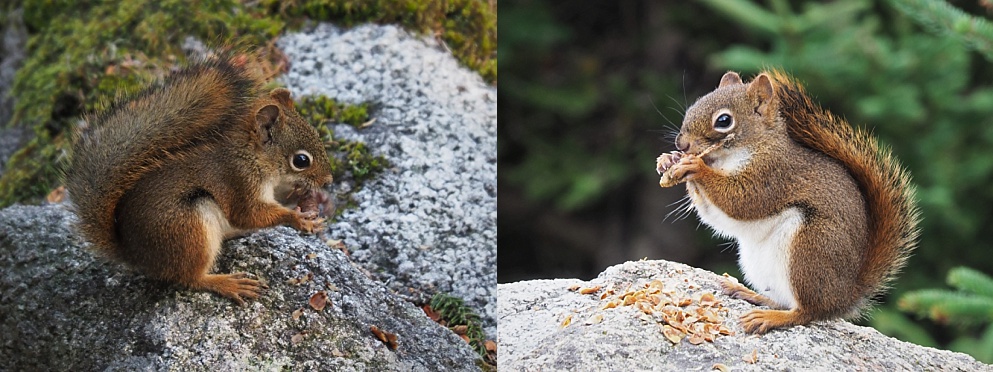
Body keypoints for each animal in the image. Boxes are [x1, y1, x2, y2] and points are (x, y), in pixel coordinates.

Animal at [69, 53, 338, 306]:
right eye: (301, 160)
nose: (328, 181)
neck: (251, 155)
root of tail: (134, 254)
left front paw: (306, 198)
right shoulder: (238, 180)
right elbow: (249, 213)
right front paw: (298, 218)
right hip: (189, 227)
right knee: (190, 278)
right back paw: (227, 283)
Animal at [656, 71, 920, 332]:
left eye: (723, 120)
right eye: (693, 106)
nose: (682, 145)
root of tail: (845, 296)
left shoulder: (772, 175)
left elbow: (741, 200)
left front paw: (695, 167)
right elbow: (714, 214)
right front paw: (669, 160)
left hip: (810, 250)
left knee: (808, 311)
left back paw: (770, 318)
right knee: (783, 300)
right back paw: (748, 293)